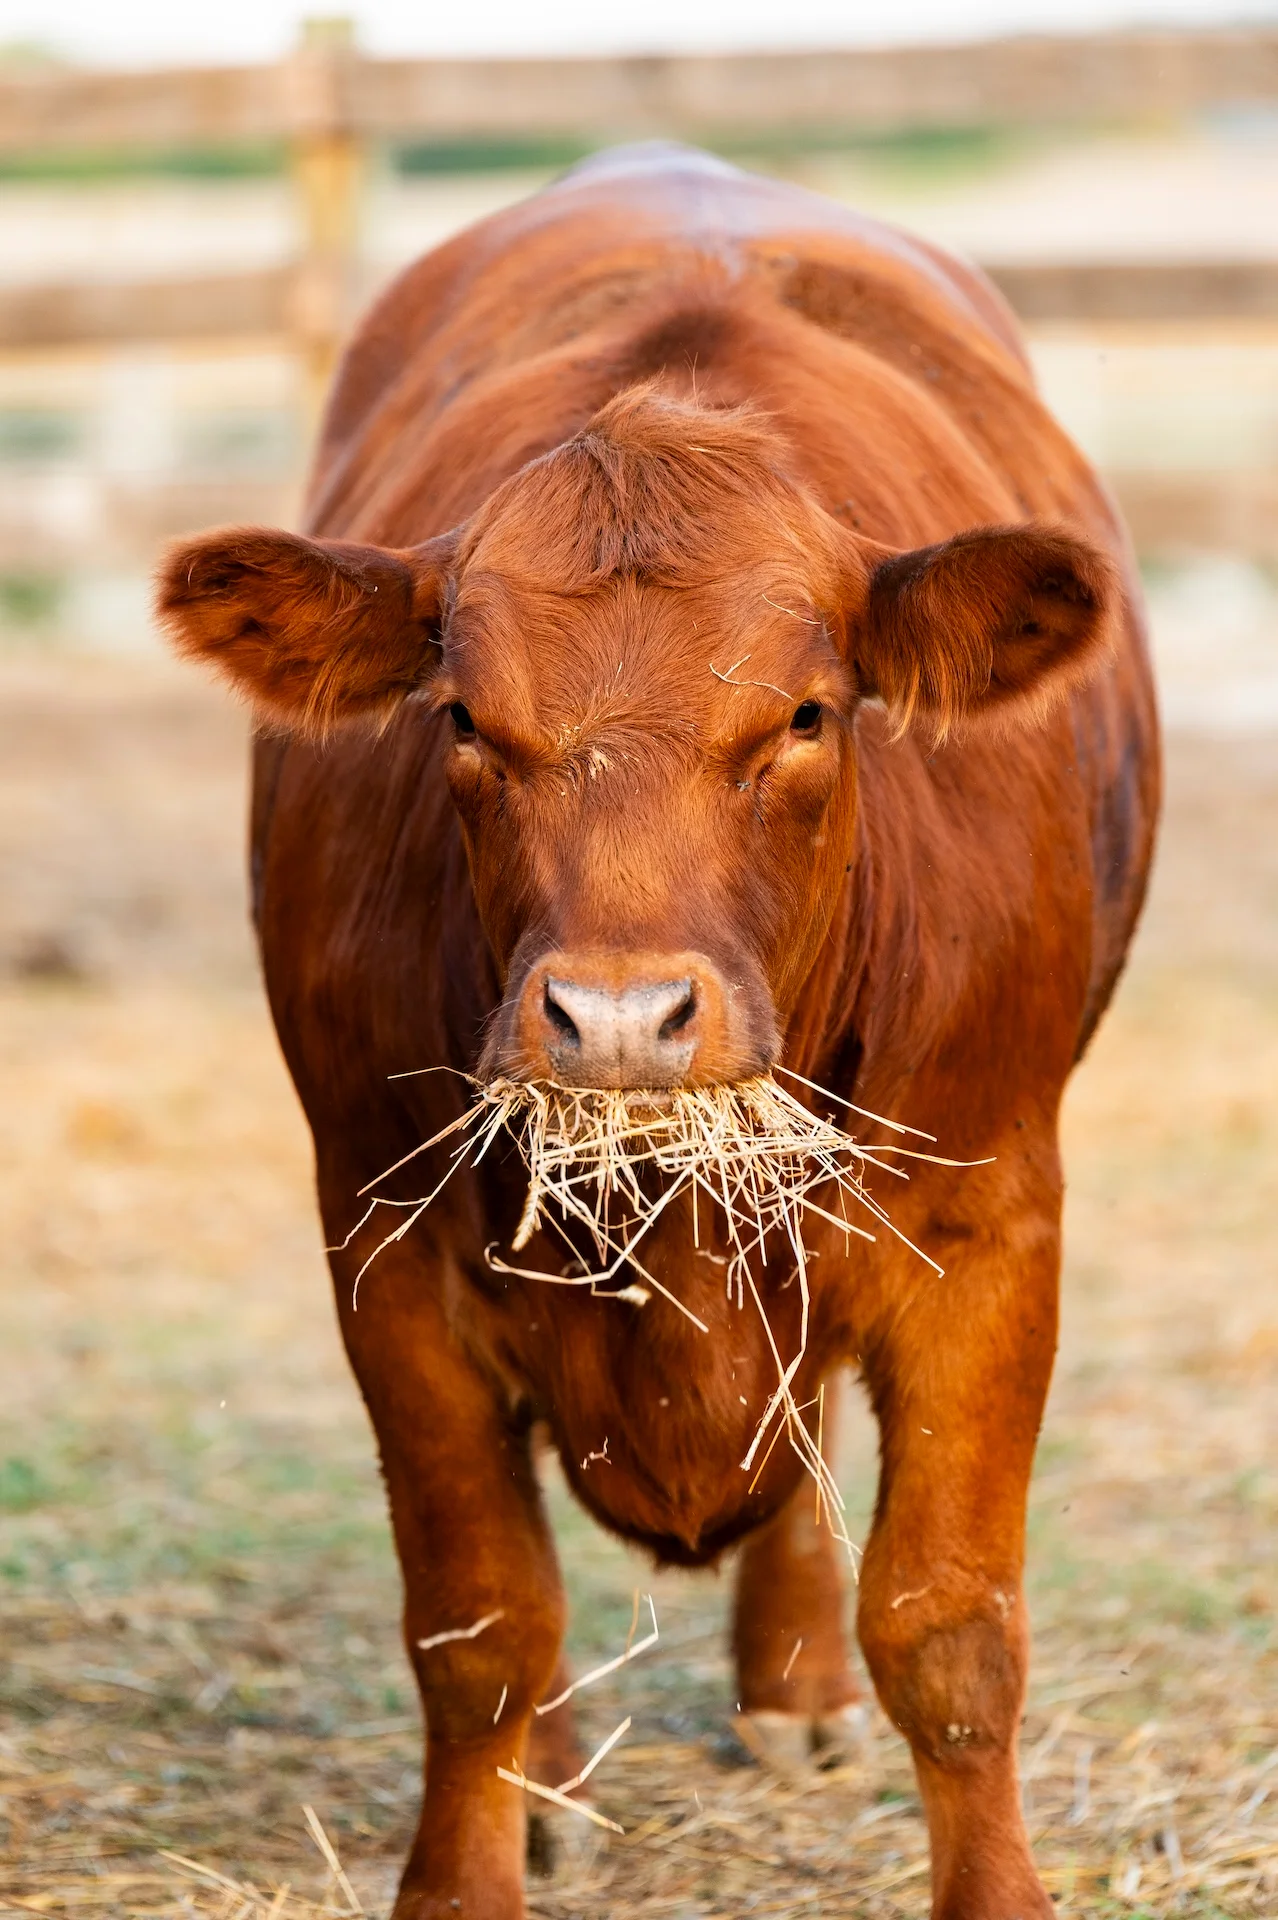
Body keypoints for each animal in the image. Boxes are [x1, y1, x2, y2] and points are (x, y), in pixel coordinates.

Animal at [157, 144, 1159, 1919]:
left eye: (806, 714)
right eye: (463, 719)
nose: (617, 1016)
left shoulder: (989, 1229)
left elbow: (948, 1627)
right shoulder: (385, 1250)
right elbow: (478, 1623)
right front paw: (469, 1875)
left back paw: (796, 1684)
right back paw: (556, 1783)